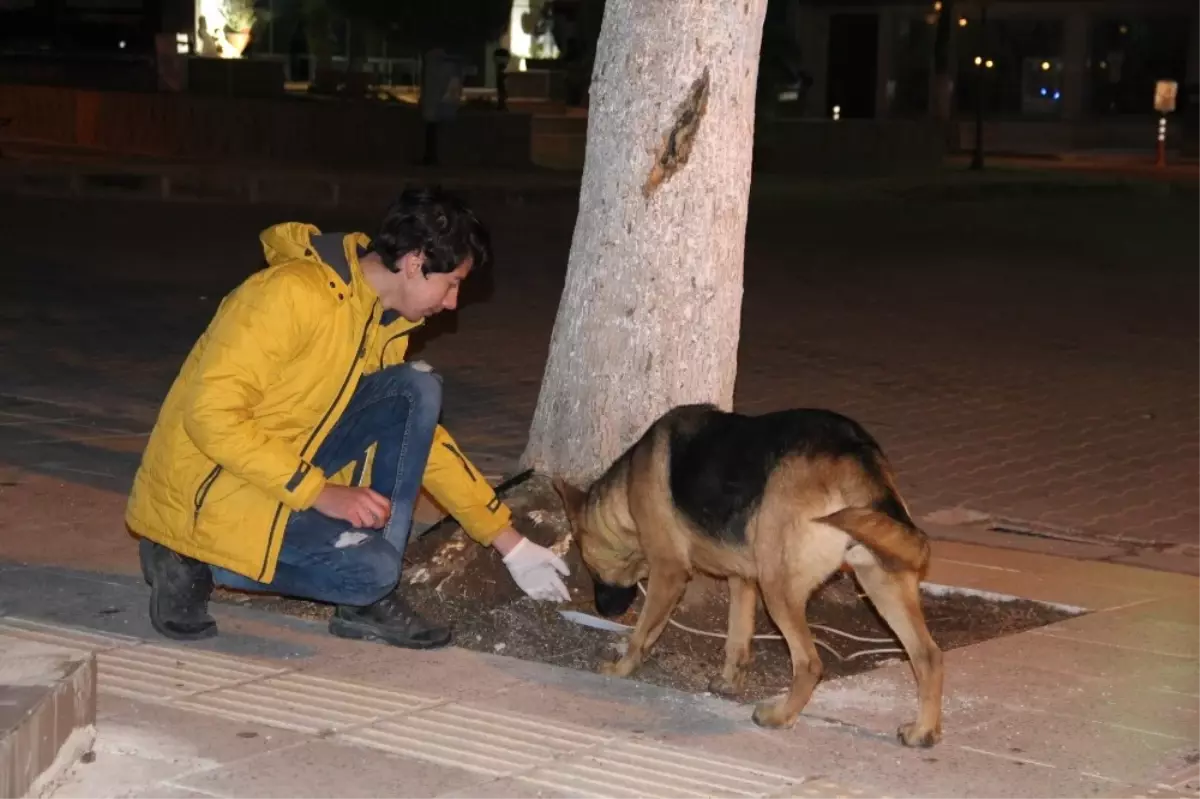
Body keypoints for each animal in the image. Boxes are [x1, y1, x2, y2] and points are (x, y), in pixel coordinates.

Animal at [552, 405, 945, 748]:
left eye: (590, 567)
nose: (603, 611)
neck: (624, 496)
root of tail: (854, 451)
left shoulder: (670, 572)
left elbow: (643, 633)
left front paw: (622, 667)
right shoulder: (743, 580)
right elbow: (736, 639)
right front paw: (729, 681)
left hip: (780, 589)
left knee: (810, 663)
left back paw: (780, 716)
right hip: (880, 580)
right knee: (928, 654)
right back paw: (923, 732)